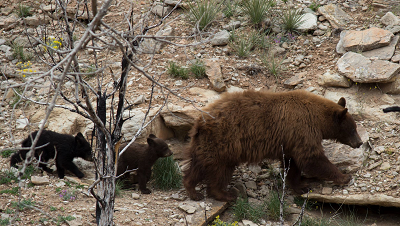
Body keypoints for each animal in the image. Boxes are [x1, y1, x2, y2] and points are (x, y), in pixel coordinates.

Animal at [183, 90, 364, 201]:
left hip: (205, 144)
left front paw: (300, 186)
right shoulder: (302, 129)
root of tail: (200, 122)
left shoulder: (291, 141)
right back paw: (224, 194)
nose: (360, 142)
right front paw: (344, 176)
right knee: (219, 170)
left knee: (198, 165)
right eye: (353, 129)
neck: (317, 119)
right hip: (224, 142)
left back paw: (192, 190)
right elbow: (312, 159)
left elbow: (292, 164)